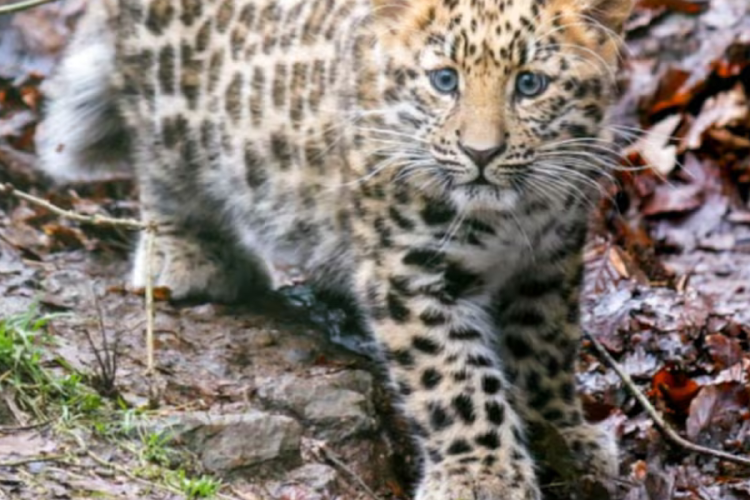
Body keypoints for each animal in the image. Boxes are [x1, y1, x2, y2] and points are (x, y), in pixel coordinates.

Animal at [37, 0, 633, 498]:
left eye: (530, 84)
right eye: (445, 80)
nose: (480, 153)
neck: (512, 214)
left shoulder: (552, 260)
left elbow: (544, 347)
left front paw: (565, 434)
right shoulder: (409, 272)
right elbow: (455, 379)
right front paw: (482, 477)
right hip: (169, 109)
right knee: (164, 172)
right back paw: (188, 257)